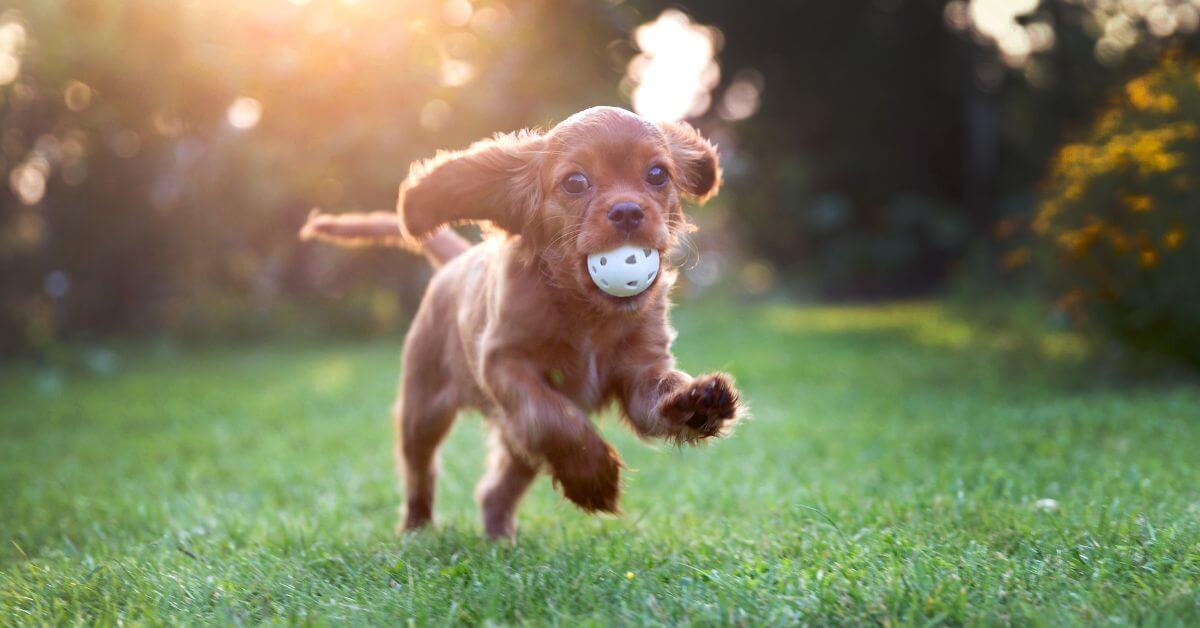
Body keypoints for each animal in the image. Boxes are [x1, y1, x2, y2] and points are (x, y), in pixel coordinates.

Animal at [300, 105, 739, 537]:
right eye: (575, 182)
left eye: (657, 174)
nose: (628, 211)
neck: (586, 312)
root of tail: (456, 260)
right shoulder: (504, 363)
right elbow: (552, 416)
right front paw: (592, 477)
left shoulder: (640, 371)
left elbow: (655, 398)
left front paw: (697, 402)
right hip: (422, 409)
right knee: (420, 470)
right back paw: (417, 529)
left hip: (512, 442)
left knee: (494, 490)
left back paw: (499, 540)